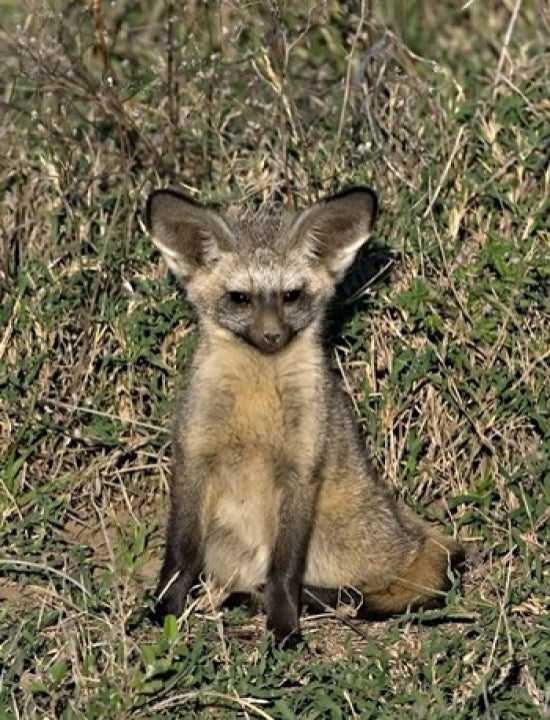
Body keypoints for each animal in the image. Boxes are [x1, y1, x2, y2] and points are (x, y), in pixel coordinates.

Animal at [145, 186, 464, 646]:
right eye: (240, 299)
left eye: (290, 296)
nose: (272, 336)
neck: (256, 404)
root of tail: (405, 527)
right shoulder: (195, 456)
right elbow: (180, 556)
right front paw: (165, 609)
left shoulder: (300, 470)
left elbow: (285, 570)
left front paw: (284, 629)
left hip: (335, 537)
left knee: (384, 580)